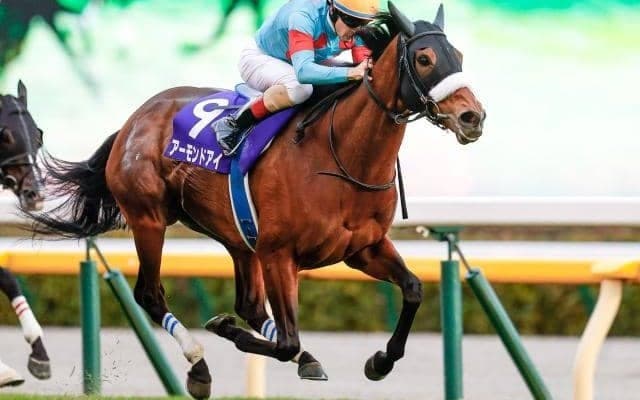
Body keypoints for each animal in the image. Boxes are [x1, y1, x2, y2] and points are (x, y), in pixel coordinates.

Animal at [27, 2, 485, 398]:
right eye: (424, 58)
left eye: (459, 54)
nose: (472, 117)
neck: (341, 155)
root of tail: (133, 119)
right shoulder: (280, 253)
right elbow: (286, 341)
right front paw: (225, 331)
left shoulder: (363, 248)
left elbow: (412, 290)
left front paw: (380, 361)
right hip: (149, 218)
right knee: (150, 295)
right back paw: (199, 367)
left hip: (239, 237)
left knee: (249, 304)